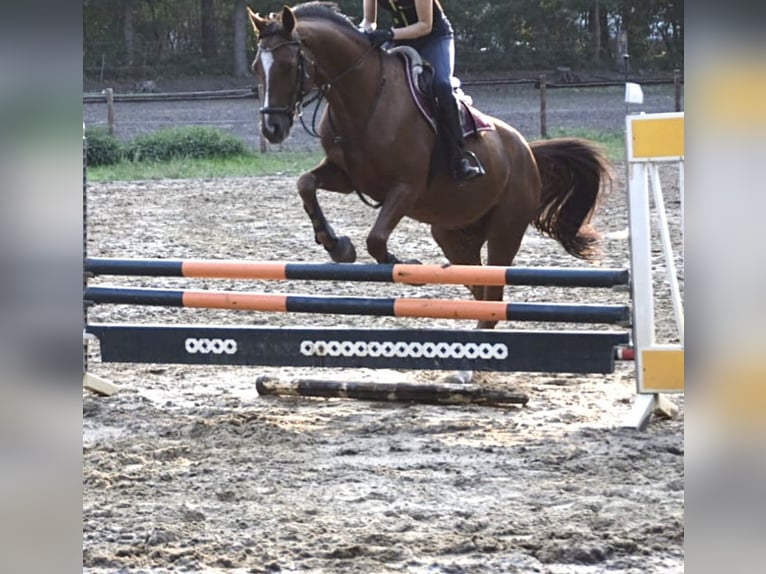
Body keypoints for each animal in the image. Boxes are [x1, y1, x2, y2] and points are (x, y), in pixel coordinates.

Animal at [249, 3, 616, 332]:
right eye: (256, 67)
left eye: (287, 65)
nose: (272, 129)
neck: (364, 96)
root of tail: (527, 150)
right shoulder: (347, 177)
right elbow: (305, 184)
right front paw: (337, 245)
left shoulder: (406, 188)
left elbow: (376, 239)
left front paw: (405, 266)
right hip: (453, 233)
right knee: (481, 291)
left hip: (506, 229)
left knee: (492, 294)